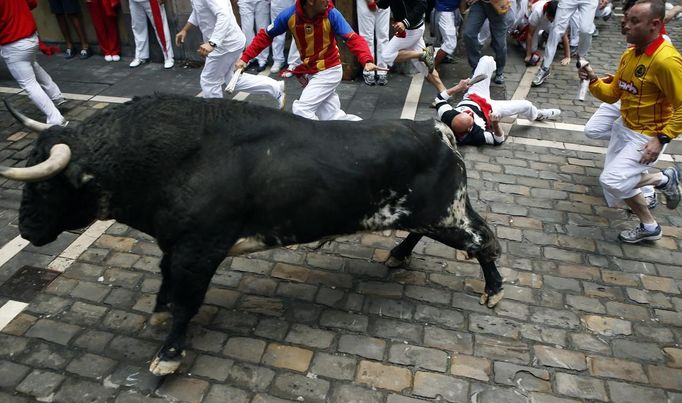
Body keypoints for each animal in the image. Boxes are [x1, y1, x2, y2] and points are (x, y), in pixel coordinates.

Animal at [0, 94, 500, 376]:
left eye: (45, 185)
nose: (26, 229)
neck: (173, 158)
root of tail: (437, 129)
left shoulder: (199, 252)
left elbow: (186, 302)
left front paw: (169, 354)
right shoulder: (174, 246)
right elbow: (166, 283)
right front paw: (158, 314)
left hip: (447, 216)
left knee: (485, 242)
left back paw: (493, 291)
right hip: (433, 215)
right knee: (431, 234)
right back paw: (397, 254)